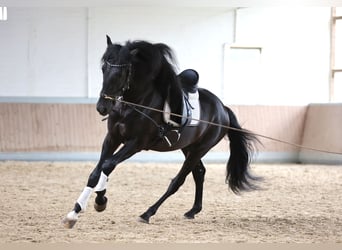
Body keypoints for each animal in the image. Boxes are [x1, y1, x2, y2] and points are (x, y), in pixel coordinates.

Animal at [62, 35, 260, 229]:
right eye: (103, 68)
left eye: (120, 73)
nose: (102, 107)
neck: (134, 103)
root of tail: (223, 108)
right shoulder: (112, 138)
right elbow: (95, 173)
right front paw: (74, 212)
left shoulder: (136, 143)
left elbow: (108, 165)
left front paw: (101, 199)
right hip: (188, 147)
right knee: (199, 173)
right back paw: (192, 211)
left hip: (200, 148)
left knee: (178, 181)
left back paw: (147, 213)